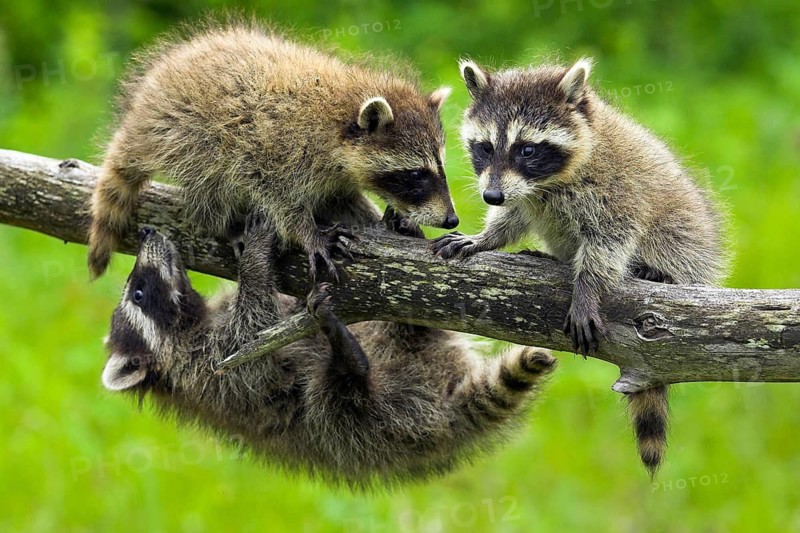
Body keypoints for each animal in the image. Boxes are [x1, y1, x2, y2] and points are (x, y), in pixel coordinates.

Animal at [88, 22, 458, 281]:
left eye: (441, 167)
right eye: (415, 174)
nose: (452, 219)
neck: (340, 110)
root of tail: (142, 108)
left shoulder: (335, 175)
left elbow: (342, 200)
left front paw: (385, 222)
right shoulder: (274, 150)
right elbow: (281, 199)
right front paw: (307, 233)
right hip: (190, 136)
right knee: (210, 188)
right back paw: (223, 224)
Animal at [100, 211, 556, 488]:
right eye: (138, 292)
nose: (148, 233)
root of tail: (445, 418)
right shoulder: (214, 368)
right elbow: (254, 328)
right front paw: (254, 259)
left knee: (405, 328)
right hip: (367, 428)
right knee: (336, 398)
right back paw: (347, 357)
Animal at [432, 58, 728, 476]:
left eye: (527, 149)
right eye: (485, 147)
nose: (491, 195)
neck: (548, 182)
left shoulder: (615, 186)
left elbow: (612, 238)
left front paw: (588, 285)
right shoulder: (523, 194)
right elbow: (514, 215)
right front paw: (487, 236)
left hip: (686, 237)